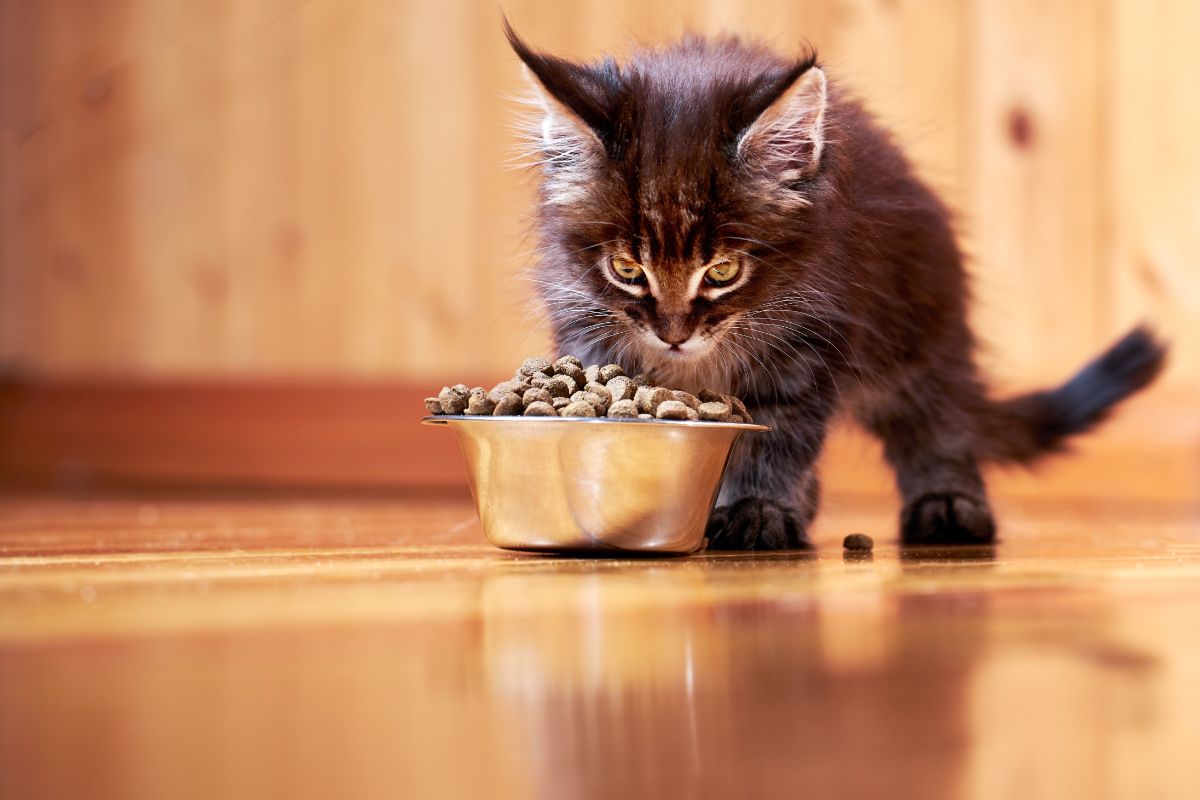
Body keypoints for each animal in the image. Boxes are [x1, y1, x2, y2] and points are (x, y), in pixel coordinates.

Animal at [504, 23, 1161, 551]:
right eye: (627, 270)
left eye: (722, 272)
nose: (673, 335)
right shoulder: (587, 326)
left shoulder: (809, 342)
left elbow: (773, 441)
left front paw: (758, 509)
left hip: (919, 328)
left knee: (940, 422)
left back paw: (949, 506)